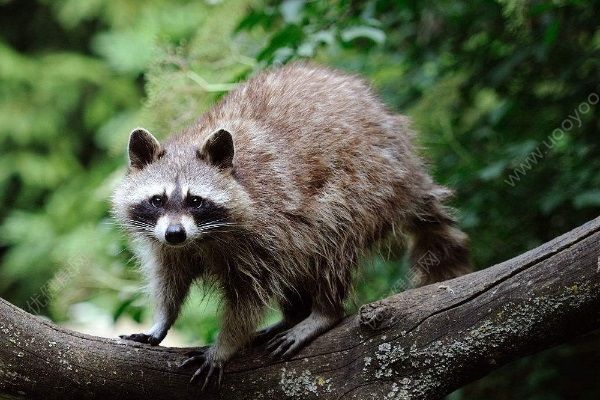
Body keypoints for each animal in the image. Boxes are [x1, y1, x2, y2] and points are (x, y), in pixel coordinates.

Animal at [111, 63, 468, 390]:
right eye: (157, 199)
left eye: (195, 200)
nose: (175, 234)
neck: (200, 238)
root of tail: (408, 164)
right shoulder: (166, 244)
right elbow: (169, 280)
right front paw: (162, 320)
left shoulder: (264, 229)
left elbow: (248, 298)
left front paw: (225, 345)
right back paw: (292, 315)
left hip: (367, 185)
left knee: (329, 239)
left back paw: (324, 311)